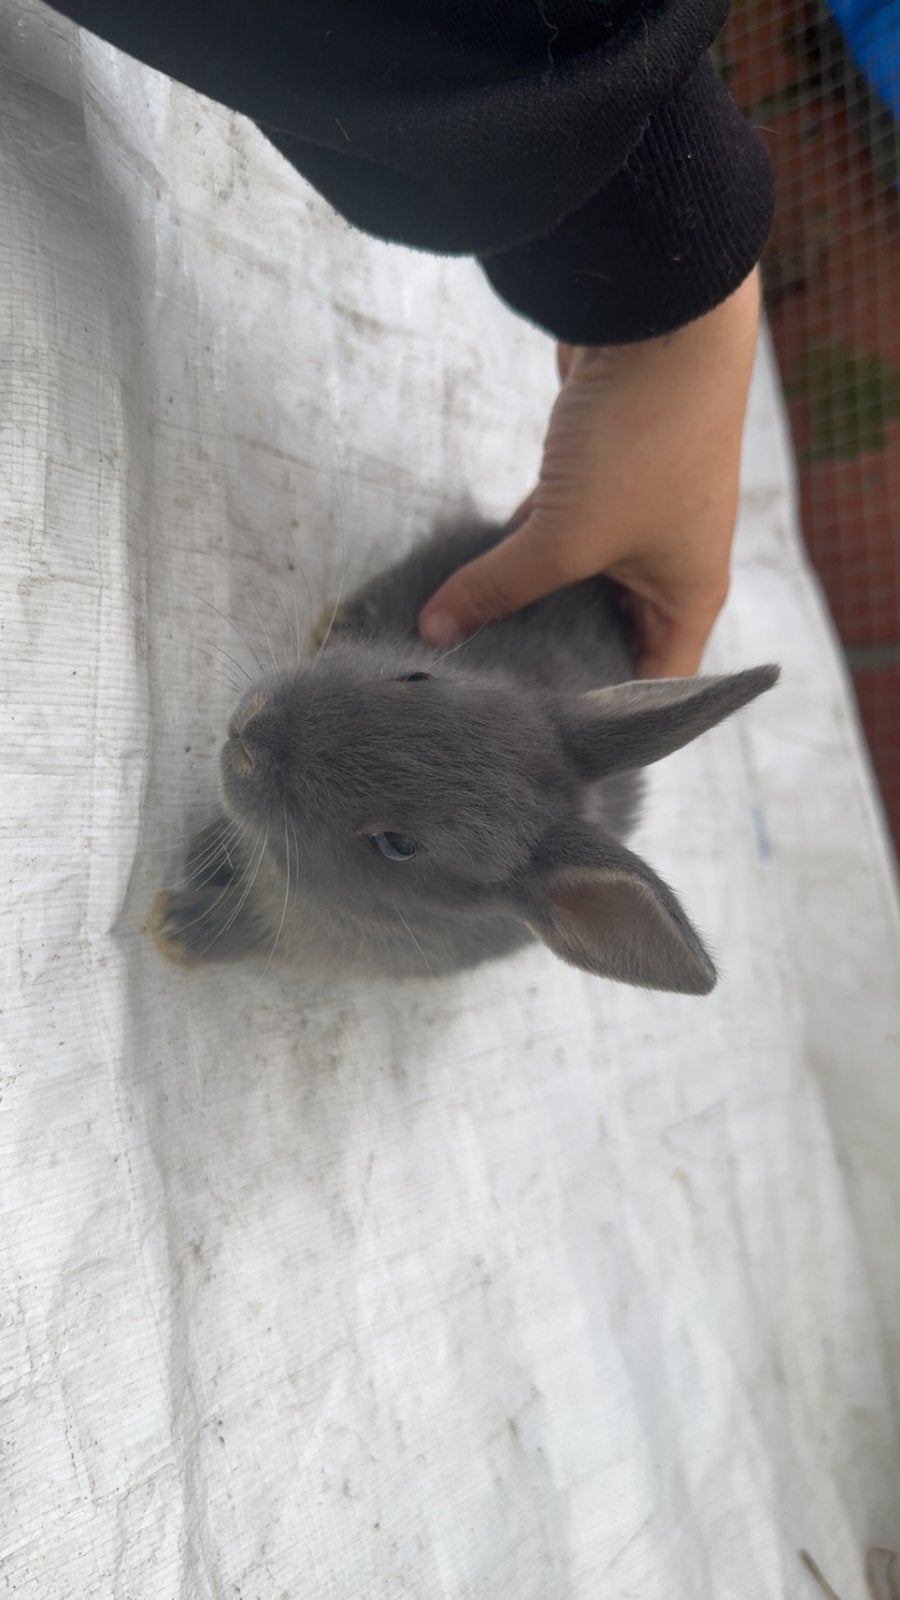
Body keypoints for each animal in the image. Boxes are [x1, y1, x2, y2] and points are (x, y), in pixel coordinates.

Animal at [148, 517, 778, 993]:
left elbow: (249, 933)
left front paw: (174, 928)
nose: (250, 733)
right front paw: (200, 855)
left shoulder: (300, 940)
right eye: (416, 676)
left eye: (396, 845)